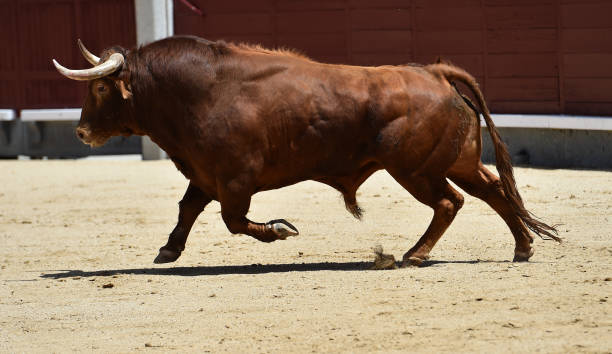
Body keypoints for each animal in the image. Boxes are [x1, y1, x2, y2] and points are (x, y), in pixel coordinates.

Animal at [53, 36, 560, 266]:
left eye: (100, 87)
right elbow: (188, 208)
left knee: (450, 202)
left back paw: (414, 254)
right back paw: (522, 248)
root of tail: (434, 72)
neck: (199, 91)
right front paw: (168, 250)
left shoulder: (235, 179)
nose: (80, 132)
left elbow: (232, 220)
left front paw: (281, 230)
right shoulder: (206, 173)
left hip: (415, 170)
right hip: (458, 161)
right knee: (495, 192)